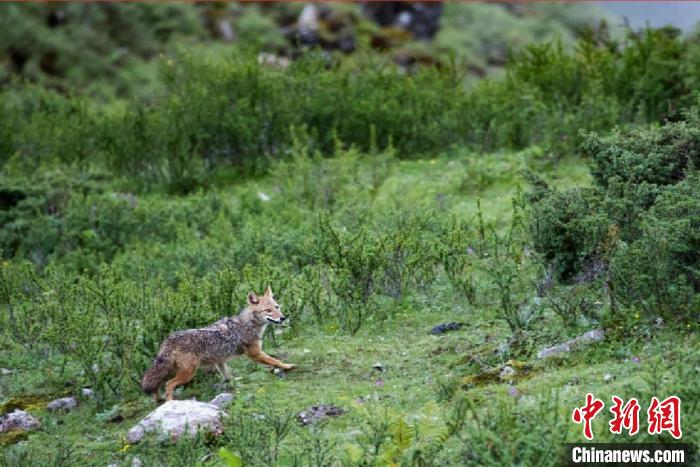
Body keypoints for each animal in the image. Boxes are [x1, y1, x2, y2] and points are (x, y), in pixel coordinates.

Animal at [141, 286, 295, 402]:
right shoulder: (255, 354)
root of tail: (169, 339)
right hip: (188, 374)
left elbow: (227, 375)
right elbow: (275, 360)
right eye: (268, 310)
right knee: (168, 384)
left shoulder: (220, 361)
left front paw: (233, 382)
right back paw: (170, 402)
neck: (248, 323)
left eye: (277, 307)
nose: (283, 318)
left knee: (156, 385)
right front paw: (287, 366)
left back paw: (159, 399)